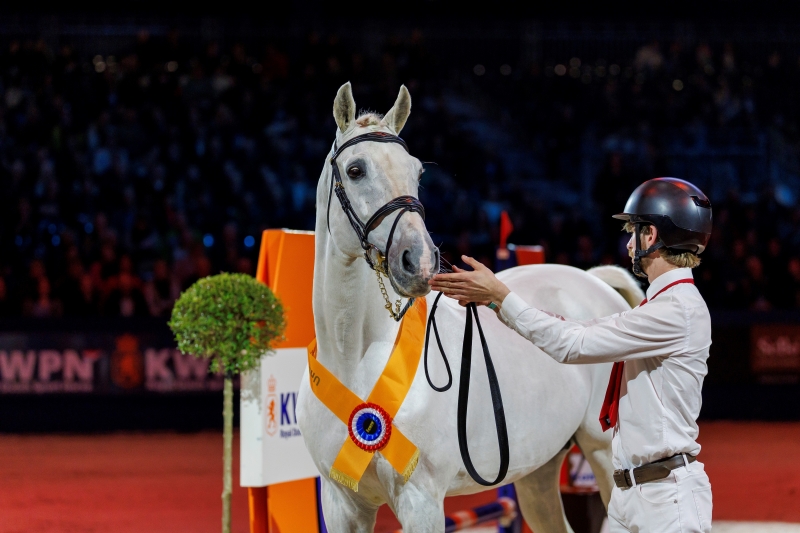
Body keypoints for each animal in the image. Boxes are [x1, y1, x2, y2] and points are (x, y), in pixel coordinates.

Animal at [296, 82, 644, 533]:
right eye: (355, 170)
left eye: (418, 172)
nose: (418, 260)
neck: (355, 360)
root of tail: (594, 281)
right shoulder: (342, 502)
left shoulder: (421, 501)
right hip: (537, 471)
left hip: (602, 455)